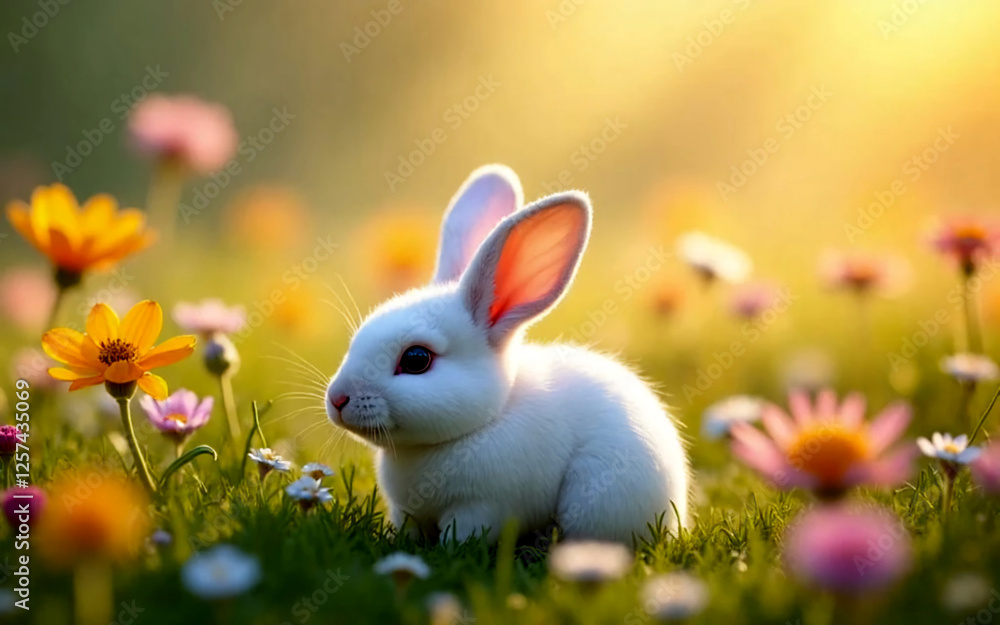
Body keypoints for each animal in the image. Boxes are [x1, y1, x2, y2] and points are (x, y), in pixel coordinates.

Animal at [325, 164, 689, 545]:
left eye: (416, 359)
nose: (337, 399)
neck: (485, 420)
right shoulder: (406, 512)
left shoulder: (480, 507)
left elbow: (461, 535)